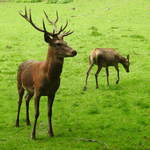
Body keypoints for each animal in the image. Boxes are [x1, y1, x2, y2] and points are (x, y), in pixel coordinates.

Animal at [15, 7, 77, 139]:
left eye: (66, 42)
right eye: (58, 44)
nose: (74, 51)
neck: (49, 77)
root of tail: (22, 62)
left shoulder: (52, 92)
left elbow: (49, 112)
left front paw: (51, 132)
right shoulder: (38, 91)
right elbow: (37, 113)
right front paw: (33, 135)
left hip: (30, 90)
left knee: (27, 99)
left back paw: (27, 122)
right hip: (19, 84)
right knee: (20, 101)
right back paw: (17, 123)